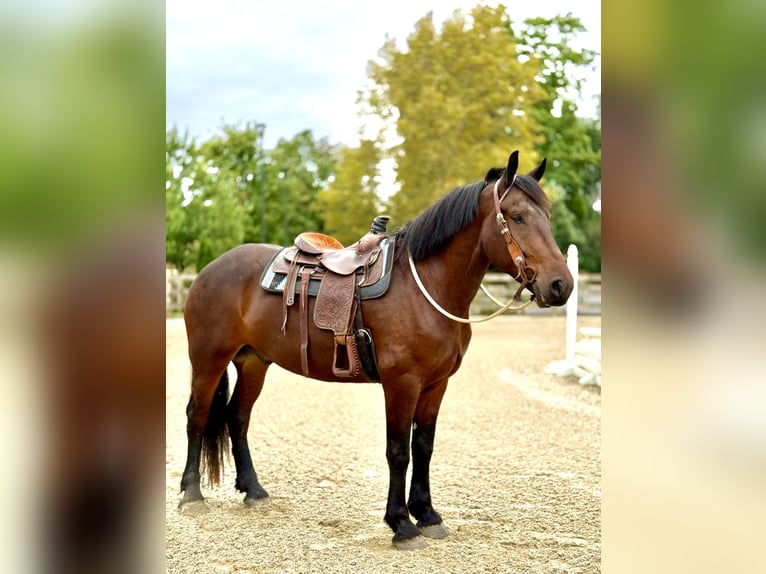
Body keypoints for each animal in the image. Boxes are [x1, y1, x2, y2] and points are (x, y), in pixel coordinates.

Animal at [178, 150, 574, 549]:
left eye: (547, 215)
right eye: (517, 216)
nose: (561, 285)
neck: (424, 289)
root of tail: (211, 269)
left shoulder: (436, 384)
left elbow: (424, 447)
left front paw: (427, 514)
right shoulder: (402, 383)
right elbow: (398, 451)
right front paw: (401, 523)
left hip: (254, 361)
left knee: (237, 417)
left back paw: (253, 490)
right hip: (209, 359)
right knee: (198, 415)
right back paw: (192, 494)